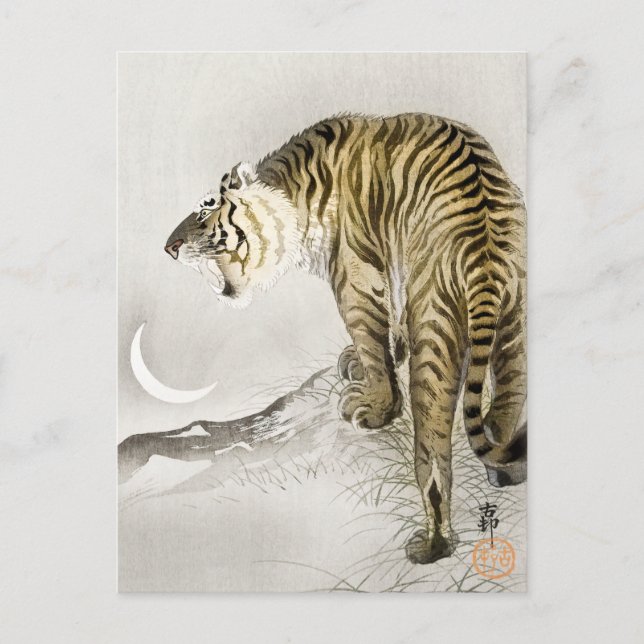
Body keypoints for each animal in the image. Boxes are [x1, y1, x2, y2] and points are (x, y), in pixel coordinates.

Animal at [164, 113, 527, 564]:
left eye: (205, 210)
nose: (169, 247)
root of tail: (485, 252)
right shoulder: (393, 264)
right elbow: (390, 322)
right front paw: (370, 358)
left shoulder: (354, 276)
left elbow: (371, 337)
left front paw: (375, 406)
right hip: (514, 322)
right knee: (508, 400)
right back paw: (507, 469)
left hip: (436, 326)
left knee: (433, 454)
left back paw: (432, 545)